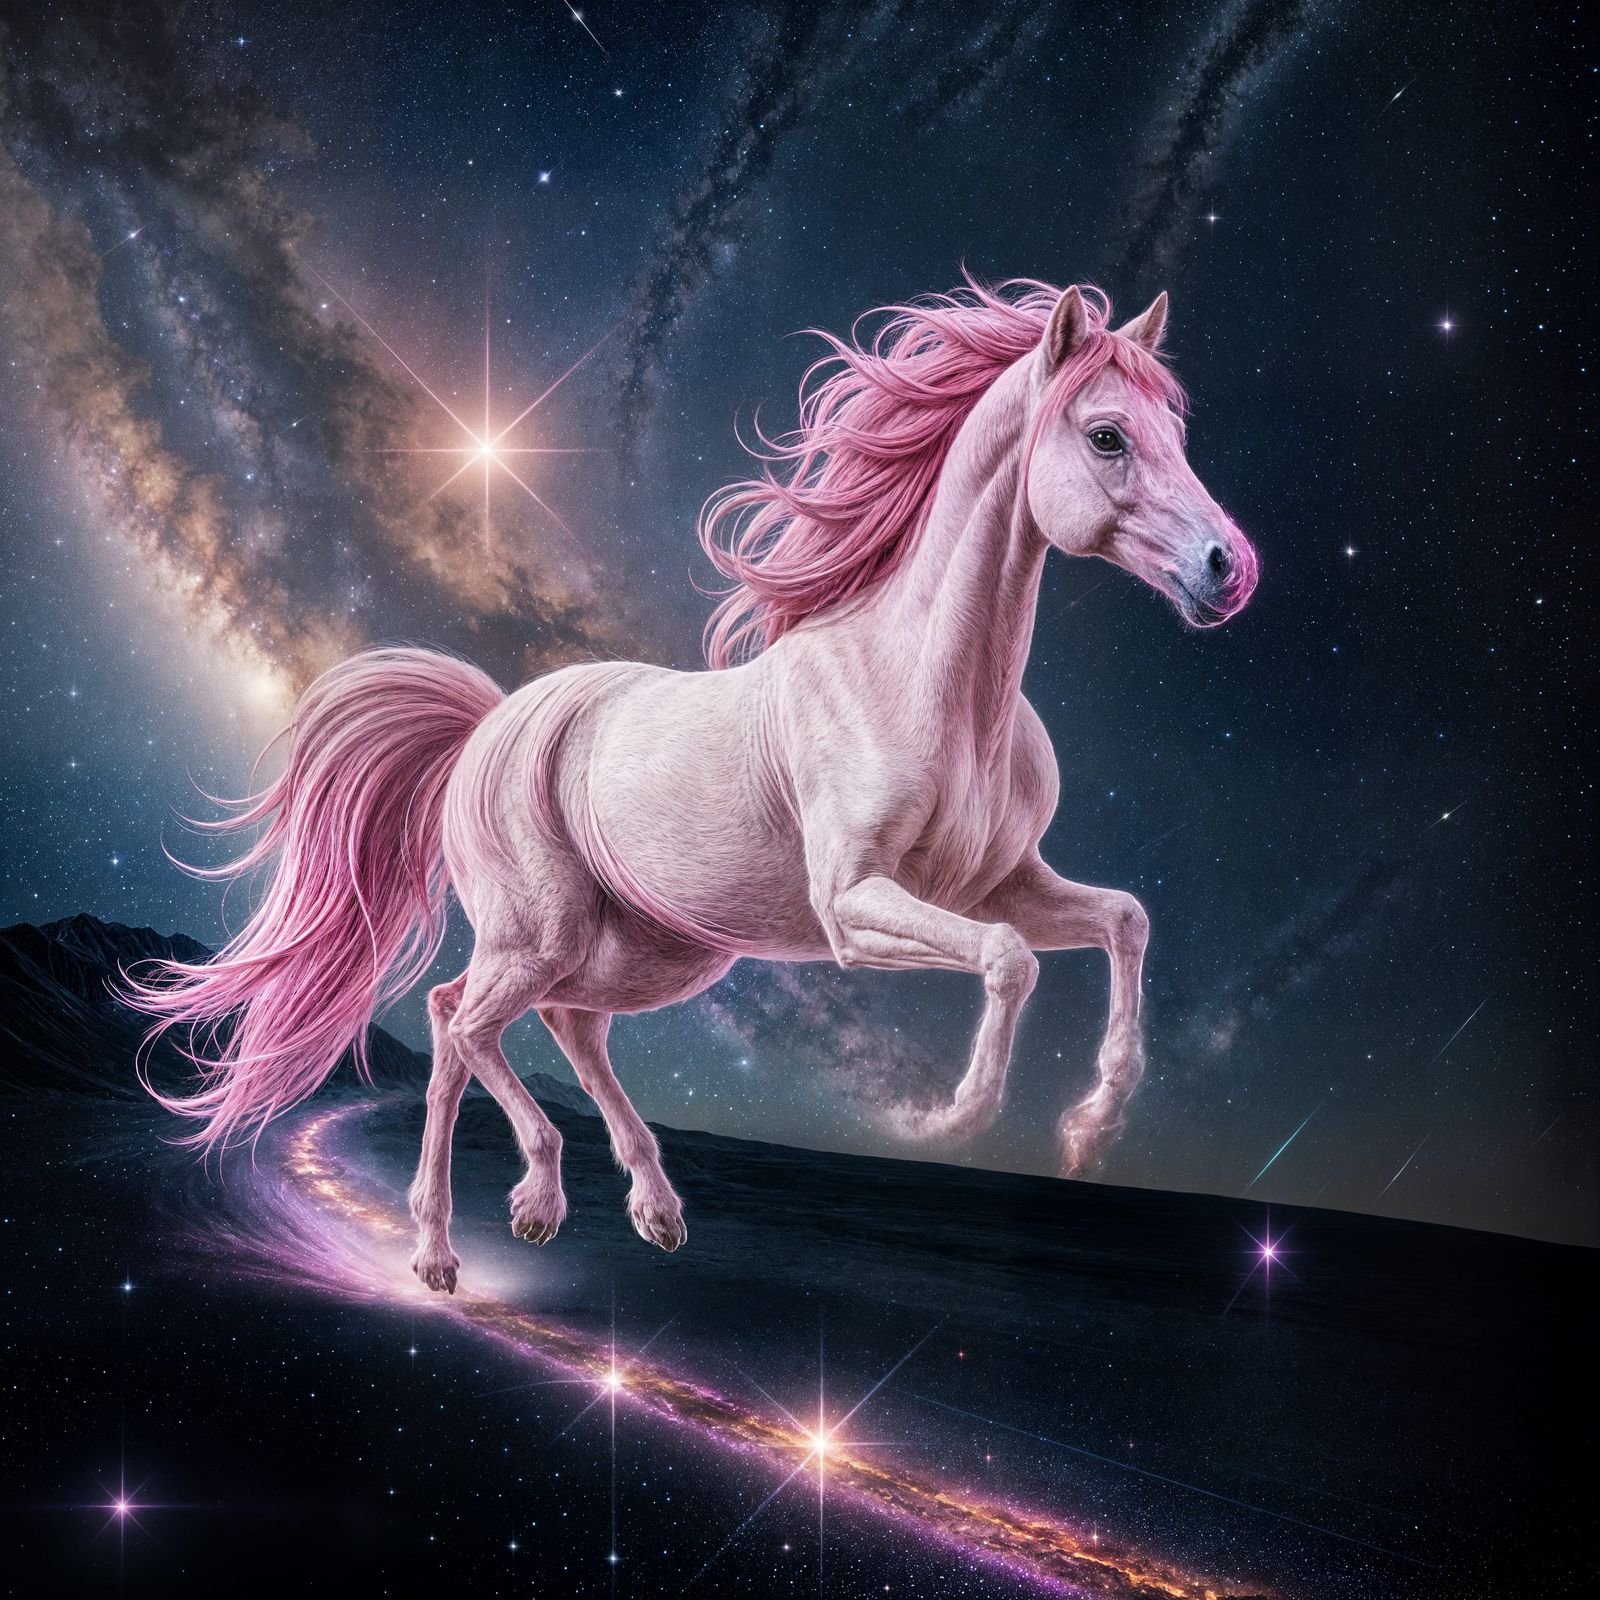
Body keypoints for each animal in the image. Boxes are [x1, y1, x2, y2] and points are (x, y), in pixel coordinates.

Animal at [130, 277, 1258, 1294]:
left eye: (1179, 427)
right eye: (1107, 435)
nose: (1229, 569)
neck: (930, 686)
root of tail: (486, 725)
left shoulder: (1003, 882)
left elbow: (1122, 919)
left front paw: (1092, 1121)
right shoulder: (855, 906)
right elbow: (1009, 960)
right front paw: (951, 1116)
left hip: (640, 952)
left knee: (561, 1028)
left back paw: (632, 1208)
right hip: (536, 932)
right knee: (457, 1022)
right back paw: (454, 1244)